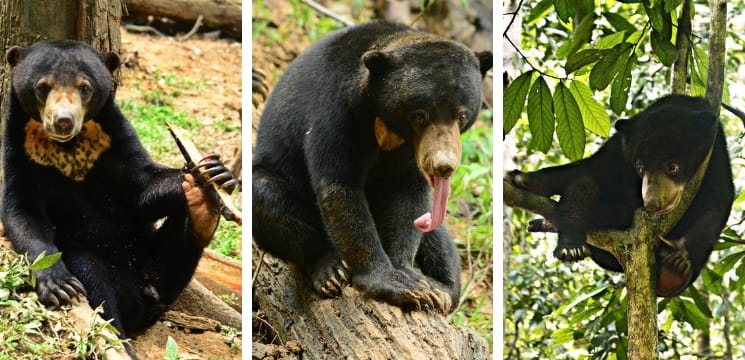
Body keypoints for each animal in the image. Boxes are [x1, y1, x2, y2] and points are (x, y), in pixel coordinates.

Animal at [2, 40, 235, 348]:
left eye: (85, 88)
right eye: (42, 87)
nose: (63, 121)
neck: (68, 148)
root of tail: (144, 299)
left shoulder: (116, 140)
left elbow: (142, 189)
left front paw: (215, 172)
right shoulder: (19, 152)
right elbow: (22, 212)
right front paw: (59, 285)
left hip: (154, 257)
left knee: (178, 250)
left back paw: (201, 208)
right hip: (100, 266)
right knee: (94, 278)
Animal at [253, 21, 492, 312]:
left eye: (462, 116)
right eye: (420, 116)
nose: (443, 165)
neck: (385, 123)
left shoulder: (411, 153)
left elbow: (407, 199)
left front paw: (414, 279)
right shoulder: (335, 113)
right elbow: (340, 192)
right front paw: (391, 282)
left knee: (436, 233)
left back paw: (443, 291)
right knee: (266, 195)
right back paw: (330, 271)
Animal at [508, 94, 736, 296]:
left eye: (673, 166)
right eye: (640, 167)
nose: (651, 202)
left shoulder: (715, 155)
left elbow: (716, 202)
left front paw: (678, 263)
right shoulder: (619, 149)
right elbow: (588, 175)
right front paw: (527, 180)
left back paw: (672, 274)